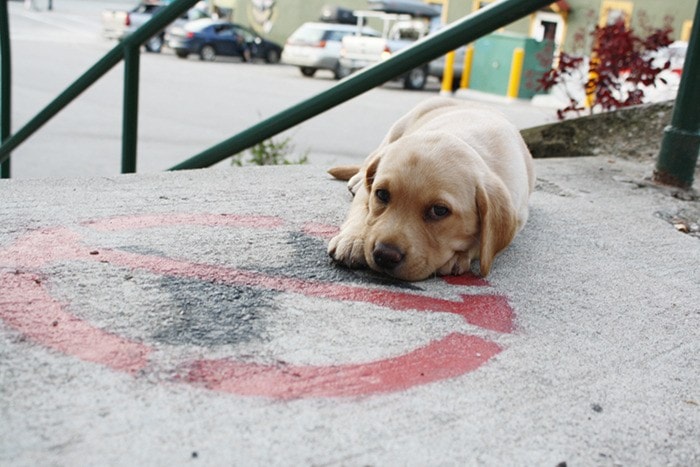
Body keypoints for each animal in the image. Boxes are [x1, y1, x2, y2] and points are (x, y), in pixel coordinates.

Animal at [326, 98, 532, 282]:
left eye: (439, 210)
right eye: (382, 194)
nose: (384, 255)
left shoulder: (518, 218)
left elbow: (485, 241)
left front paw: (459, 256)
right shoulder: (369, 191)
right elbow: (361, 211)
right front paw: (352, 240)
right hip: (396, 130)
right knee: (370, 159)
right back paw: (358, 178)